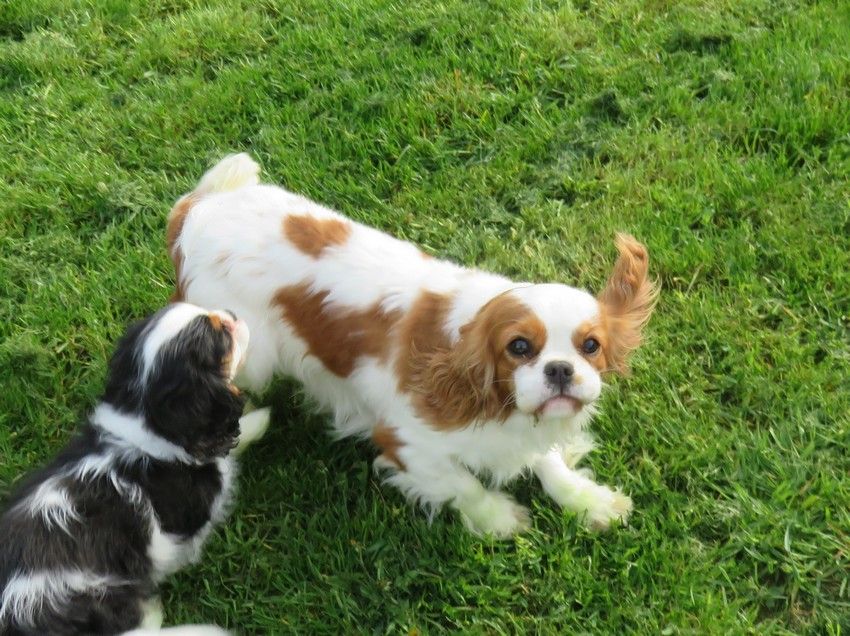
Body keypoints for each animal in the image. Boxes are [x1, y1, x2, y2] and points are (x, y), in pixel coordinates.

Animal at [0, 304, 268, 636]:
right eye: (223, 336)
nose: (231, 312)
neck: (144, 417)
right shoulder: (181, 524)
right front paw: (263, 419)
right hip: (98, 598)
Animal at [166, 154, 656, 536]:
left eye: (590, 346)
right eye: (518, 347)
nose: (560, 369)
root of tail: (198, 206)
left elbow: (549, 462)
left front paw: (587, 500)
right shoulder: (405, 441)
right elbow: (463, 484)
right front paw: (499, 519)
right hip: (251, 354)